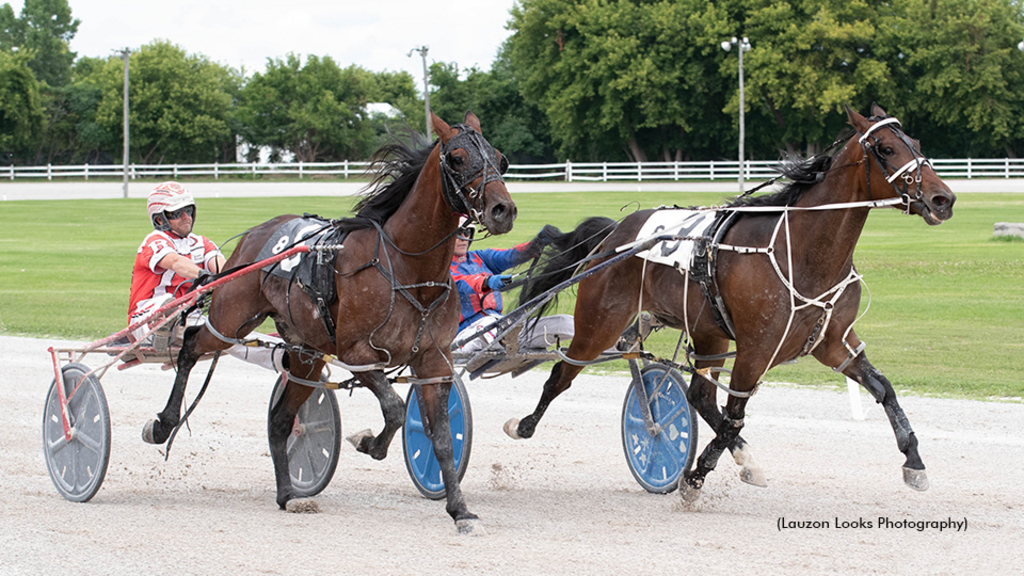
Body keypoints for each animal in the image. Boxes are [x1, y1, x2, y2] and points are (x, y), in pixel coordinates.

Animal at [140, 111, 516, 528]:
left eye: (500, 159)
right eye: (457, 158)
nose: (503, 210)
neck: (407, 269)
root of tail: (255, 234)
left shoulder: (434, 361)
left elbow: (443, 438)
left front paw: (459, 509)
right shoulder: (357, 354)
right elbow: (395, 410)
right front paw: (368, 442)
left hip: (307, 354)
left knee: (281, 420)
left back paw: (288, 494)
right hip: (230, 320)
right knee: (191, 344)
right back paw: (163, 423)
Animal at [512, 105, 950, 500]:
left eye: (917, 143)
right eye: (887, 148)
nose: (943, 198)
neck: (803, 251)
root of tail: (614, 233)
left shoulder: (834, 342)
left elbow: (884, 389)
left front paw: (914, 461)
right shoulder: (756, 349)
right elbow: (735, 417)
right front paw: (695, 477)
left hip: (708, 332)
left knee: (699, 397)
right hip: (599, 322)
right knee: (563, 372)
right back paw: (523, 424)